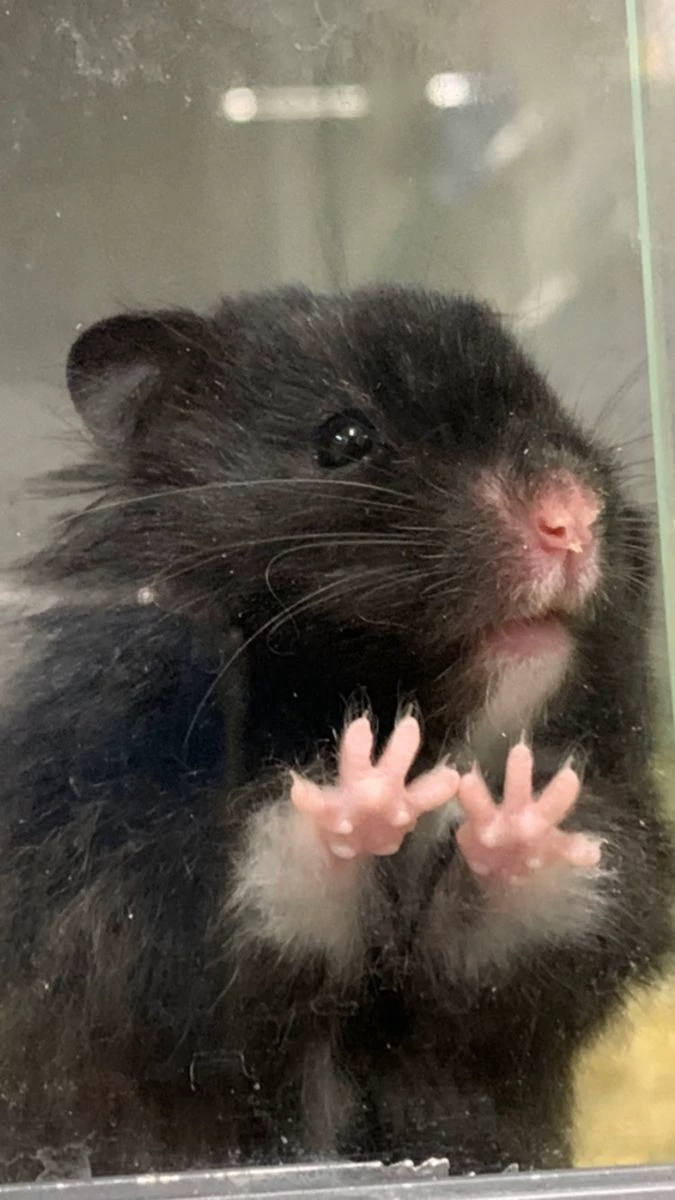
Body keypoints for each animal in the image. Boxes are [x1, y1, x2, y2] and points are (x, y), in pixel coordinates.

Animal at [0, 285, 671, 1181]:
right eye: (344, 439)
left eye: (553, 405)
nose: (571, 519)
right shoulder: (129, 903)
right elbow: (274, 871)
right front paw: (369, 779)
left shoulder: (540, 967)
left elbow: (521, 918)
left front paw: (521, 808)